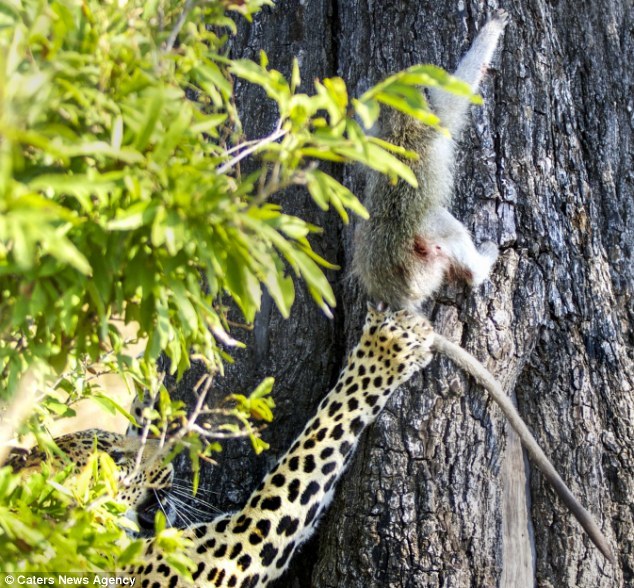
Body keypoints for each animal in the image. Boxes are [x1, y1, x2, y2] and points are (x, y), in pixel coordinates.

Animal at [354, 10, 506, 312]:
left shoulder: (380, 139)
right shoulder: (437, 121)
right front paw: (490, 31)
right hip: (421, 247)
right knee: (443, 225)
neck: (401, 126)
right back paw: (479, 268)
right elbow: (458, 92)